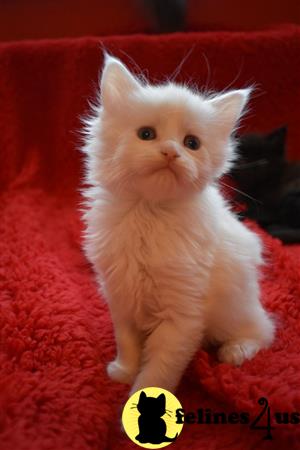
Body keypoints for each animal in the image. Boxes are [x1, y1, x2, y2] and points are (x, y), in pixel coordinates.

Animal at [81, 54, 274, 396]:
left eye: (191, 143)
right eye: (146, 134)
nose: (171, 151)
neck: (149, 214)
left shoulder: (182, 314)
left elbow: (160, 368)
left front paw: (138, 396)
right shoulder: (121, 293)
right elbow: (127, 342)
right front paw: (124, 371)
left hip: (236, 306)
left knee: (263, 330)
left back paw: (235, 351)